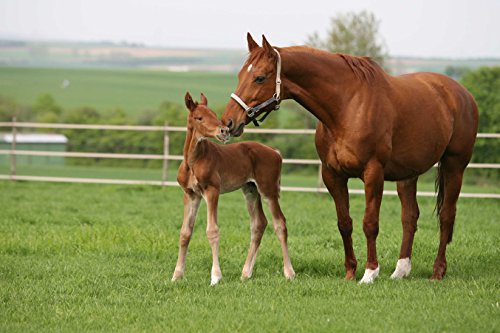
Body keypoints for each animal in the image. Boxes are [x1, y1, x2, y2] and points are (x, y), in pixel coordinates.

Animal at [173, 92, 296, 284]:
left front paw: (215, 277)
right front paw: (177, 275)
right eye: (199, 117)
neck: (193, 161)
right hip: (250, 190)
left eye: (214, 115)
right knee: (259, 223)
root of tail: (275, 152)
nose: (223, 131)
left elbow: (212, 230)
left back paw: (289, 273)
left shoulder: (212, 191)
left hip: (268, 190)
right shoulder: (191, 194)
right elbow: (185, 233)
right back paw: (245, 273)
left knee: (280, 223)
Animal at [222, 34, 476, 282]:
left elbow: (370, 223)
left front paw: (370, 272)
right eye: (241, 75)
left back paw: (437, 272)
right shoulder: (332, 175)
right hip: (408, 175)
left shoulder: (373, 173)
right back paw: (400, 271)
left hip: (454, 166)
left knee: (446, 216)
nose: (228, 123)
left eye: (259, 78)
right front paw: (350, 273)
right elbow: (344, 223)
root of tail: (461, 93)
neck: (348, 106)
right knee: (410, 217)